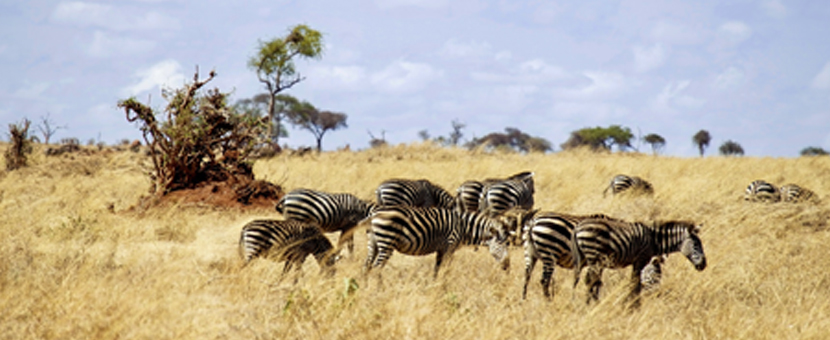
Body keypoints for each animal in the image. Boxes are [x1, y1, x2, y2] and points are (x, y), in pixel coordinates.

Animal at [366, 205, 512, 278]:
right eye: (502, 244)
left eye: (508, 244)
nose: (508, 267)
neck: (463, 227)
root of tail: (374, 213)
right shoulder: (450, 246)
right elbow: (446, 269)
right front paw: (444, 286)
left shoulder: (441, 249)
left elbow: (436, 269)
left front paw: (434, 285)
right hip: (387, 240)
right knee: (377, 267)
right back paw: (380, 290)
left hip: (374, 242)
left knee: (366, 266)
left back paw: (366, 289)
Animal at [580, 219, 708, 306]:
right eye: (696, 245)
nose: (704, 265)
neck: (654, 241)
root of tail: (580, 227)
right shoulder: (640, 260)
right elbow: (635, 283)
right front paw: (634, 305)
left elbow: (635, 283)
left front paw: (632, 303)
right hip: (594, 258)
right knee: (590, 280)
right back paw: (590, 304)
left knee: (591, 280)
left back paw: (592, 303)